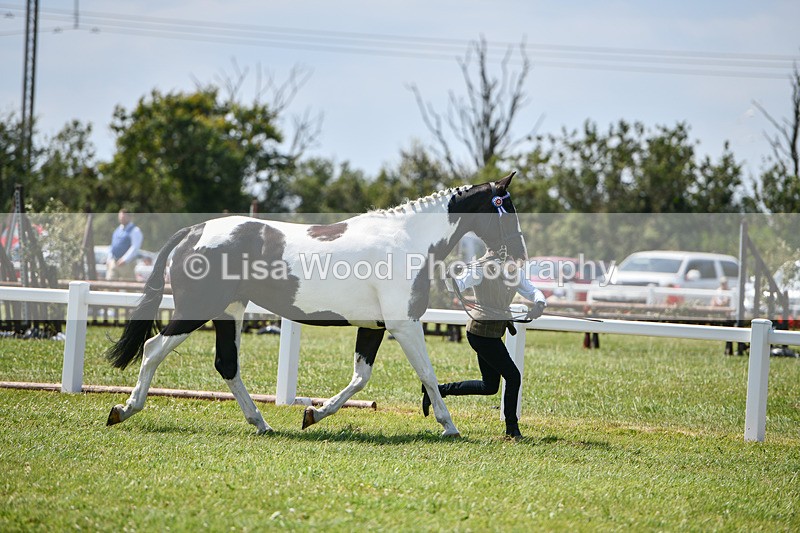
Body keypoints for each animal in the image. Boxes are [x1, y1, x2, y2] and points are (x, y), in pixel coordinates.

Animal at [105, 172, 527, 437]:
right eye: (505, 206)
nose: (520, 253)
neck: (407, 240)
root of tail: (193, 231)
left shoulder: (373, 326)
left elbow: (360, 378)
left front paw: (314, 413)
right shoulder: (403, 324)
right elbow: (426, 372)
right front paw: (449, 425)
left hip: (229, 311)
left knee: (227, 364)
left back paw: (261, 423)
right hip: (198, 309)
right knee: (153, 348)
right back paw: (123, 410)